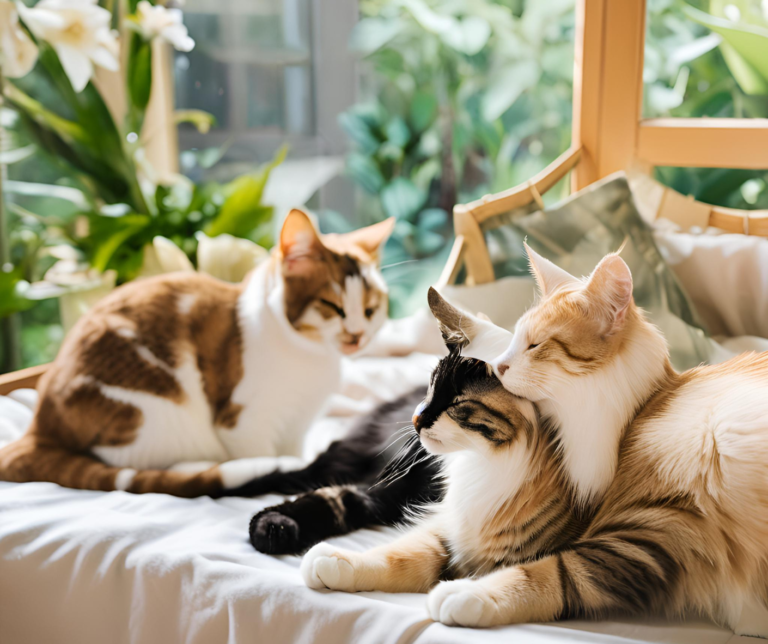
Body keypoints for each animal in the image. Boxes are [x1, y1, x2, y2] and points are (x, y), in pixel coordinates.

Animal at [0, 210, 392, 498]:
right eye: (332, 307)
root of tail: (39, 424)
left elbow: (294, 454)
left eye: (370, 310)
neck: (311, 356)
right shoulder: (244, 424)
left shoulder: (297, 425)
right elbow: (265, 458)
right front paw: (275, 474)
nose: (357, 336)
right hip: (156, 412)